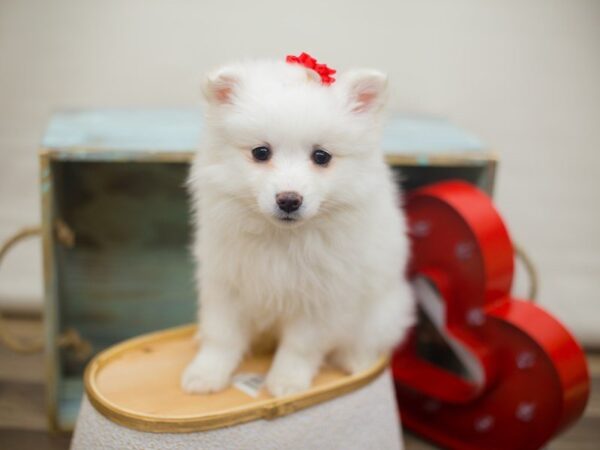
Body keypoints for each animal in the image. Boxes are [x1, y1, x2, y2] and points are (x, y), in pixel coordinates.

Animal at [182, 57, 412, 398]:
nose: (288, 200)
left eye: (321, 156)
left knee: (368, 340)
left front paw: (286, 383)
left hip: (381, 312)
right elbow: (221, 336)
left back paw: (356, 361)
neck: (282, 237)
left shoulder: (320, 299)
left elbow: (299, 348)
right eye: (261, 152)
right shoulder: (226, 284)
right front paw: (205, 374)